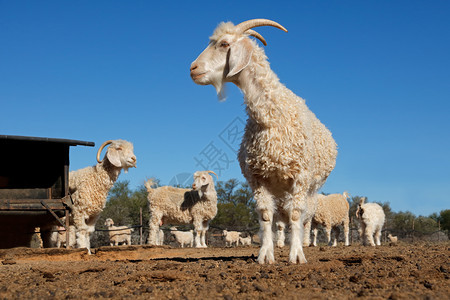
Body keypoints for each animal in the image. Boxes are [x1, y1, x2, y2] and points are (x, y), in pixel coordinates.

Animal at [190, 18, 338, 264]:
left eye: (224, 44)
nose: (192, 69)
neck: (271, 117)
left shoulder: (300, 177)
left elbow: (296, 215)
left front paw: (296, 255)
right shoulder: (258, 177)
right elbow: (266, 216)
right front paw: (266, 255)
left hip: (312, 189)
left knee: (304, 217)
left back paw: (304, 243)